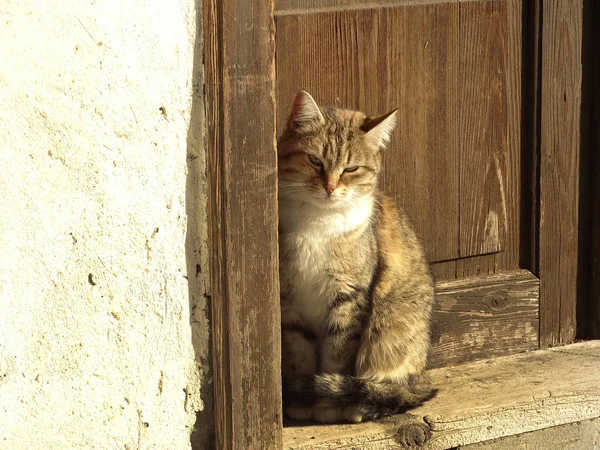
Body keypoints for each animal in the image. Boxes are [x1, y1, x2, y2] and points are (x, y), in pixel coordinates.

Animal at [276, 89, 436, 424]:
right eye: (314, 160)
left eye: (351, 169)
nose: (330, 187)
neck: (317, 222)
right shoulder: (289, 300)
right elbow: (299, 354)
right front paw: (301, 400)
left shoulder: (349, 297)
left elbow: (337, 354)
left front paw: (327, 403)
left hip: (391, 329)